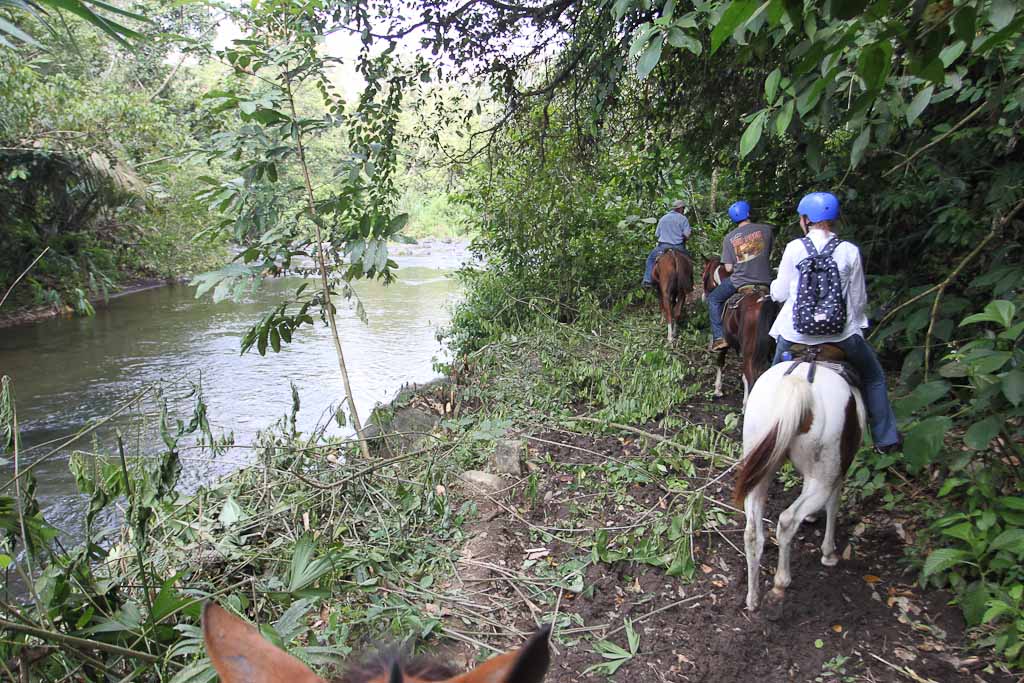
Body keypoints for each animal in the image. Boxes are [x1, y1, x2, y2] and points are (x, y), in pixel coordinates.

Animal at [704, 259, 774, 403]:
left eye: (704, 276)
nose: (704, 295)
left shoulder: (725, 341)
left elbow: (720, 361)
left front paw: (718, 389)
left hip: (750, 351)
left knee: (751, 375)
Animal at [737, 356, 864, 610]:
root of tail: (797, 385)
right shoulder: (838, 471)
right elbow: (834, 505)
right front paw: (828, 553)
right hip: (824, 475)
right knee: (787, 519)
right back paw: (780, 584)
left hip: (759, 463)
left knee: (752, 532)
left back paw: (753, 598)